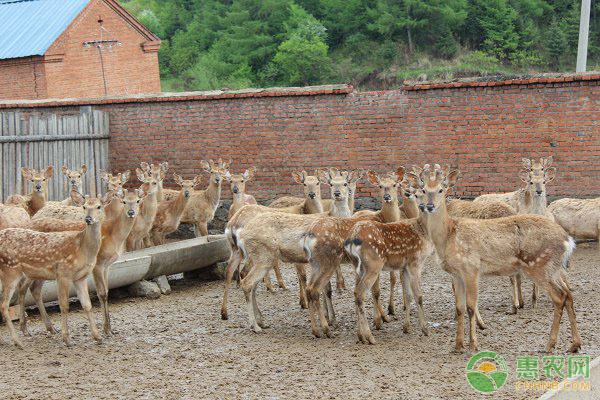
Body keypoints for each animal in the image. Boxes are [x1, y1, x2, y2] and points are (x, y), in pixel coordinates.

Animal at [0, 191, 112, 346]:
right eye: (84, 206)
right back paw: (18, 341)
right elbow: (64, 305)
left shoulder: (80, 277)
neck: (82, 248)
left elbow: (87, 305)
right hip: (10, 270)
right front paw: (67, 339)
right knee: (4, 305)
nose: (88, 219)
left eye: (99, 206)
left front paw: (98, 337)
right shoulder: (63, 273)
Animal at [406, 166, 580, 354]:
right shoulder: (456, 274)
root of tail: (568, 241)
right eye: (424, 190)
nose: (428, 206)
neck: (448, 236)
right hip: (552, 268)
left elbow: (471, 307)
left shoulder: (472, 268)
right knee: (568, 294)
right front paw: (457, 346)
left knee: (559, 297)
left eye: (441, 189)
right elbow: (459, 308)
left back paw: (549, 345)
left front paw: (473, 345)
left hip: (539, 265)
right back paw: (574, 345)